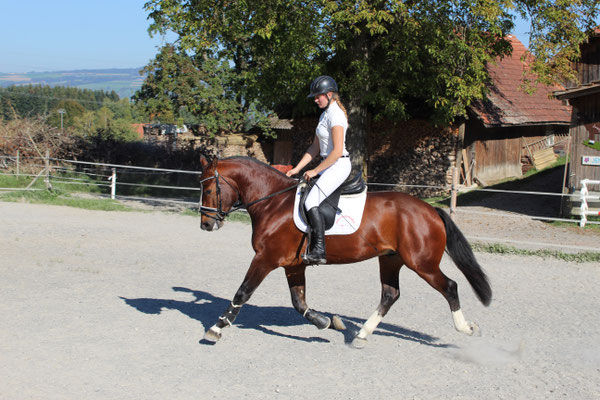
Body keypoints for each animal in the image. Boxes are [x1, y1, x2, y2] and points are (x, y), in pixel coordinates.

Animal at [199, 154, 490, 346]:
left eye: (209, 188)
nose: (205, 224)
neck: (273, 203)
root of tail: (431, 210)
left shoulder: (265, 258)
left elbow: (243, 292)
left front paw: (216, 328)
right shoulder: (293, 264)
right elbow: (299, 302)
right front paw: (325, 321)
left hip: (422, 263)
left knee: (449, 287)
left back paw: (466, 328)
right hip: (391, 259)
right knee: (390, 294)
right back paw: (361, 334)